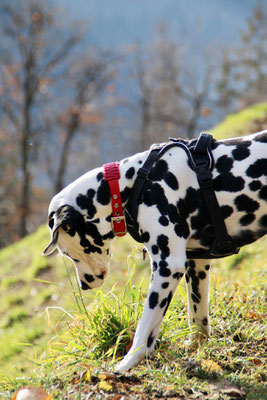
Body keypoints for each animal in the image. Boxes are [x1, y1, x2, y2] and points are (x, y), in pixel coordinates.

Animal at [43, 131, 267, 372]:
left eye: (66, 253)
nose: (83, 285)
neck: (134, 183)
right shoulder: (197, 264)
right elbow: (197, 319)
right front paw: (194, 349)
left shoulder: (167, 267)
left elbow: (144, 330)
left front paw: (125, 366)